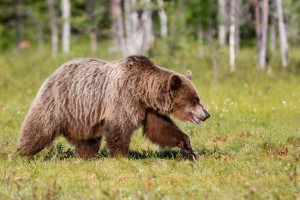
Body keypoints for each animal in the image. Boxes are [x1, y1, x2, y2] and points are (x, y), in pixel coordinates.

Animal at [15, 55, 209, 159]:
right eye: (195, 100)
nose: (206, 114)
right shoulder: (123, 98)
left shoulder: (147, 109)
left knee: (88, 140)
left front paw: (188, 148)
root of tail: (56, 71)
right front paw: (121, 155)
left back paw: (86, 156)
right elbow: (120, 128)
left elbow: (160, 129)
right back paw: (21, 153)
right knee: (39, 128)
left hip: (84, 117)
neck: (142, 91)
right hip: (60, 102)